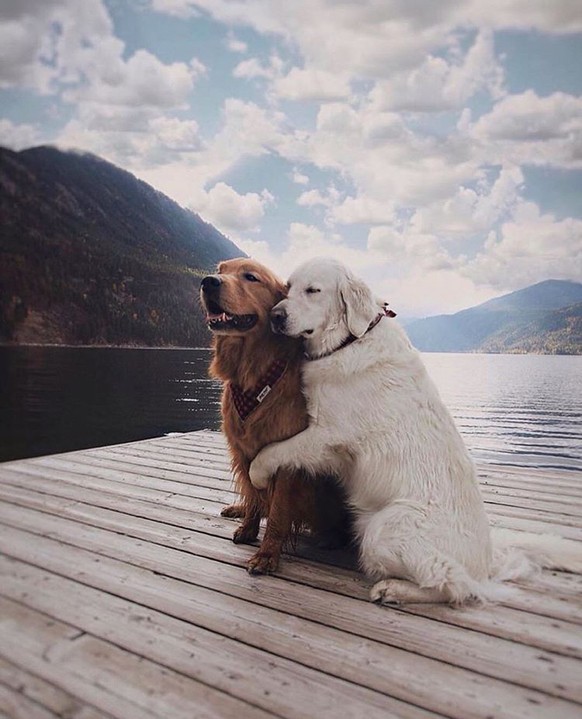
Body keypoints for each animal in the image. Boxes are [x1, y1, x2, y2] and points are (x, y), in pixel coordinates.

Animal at [201, 258, 350, 572]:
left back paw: (331, 537)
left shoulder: (285, 460)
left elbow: (279, 510)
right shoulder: (243, 451)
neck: (253, 377)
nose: (208, 281)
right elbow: (254, 494)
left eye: (250, 277)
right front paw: (248, 527)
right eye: (220, 270)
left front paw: (268, 554)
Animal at [252, 256, 582, 604]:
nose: (276, 316)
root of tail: (486, 562)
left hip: (384, 529)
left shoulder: (327, 435)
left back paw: (392, 589)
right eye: (288, 287)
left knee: (454, 584)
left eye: (313, 290)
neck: (350, 340)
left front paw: (257, 476)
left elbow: (272, 452)